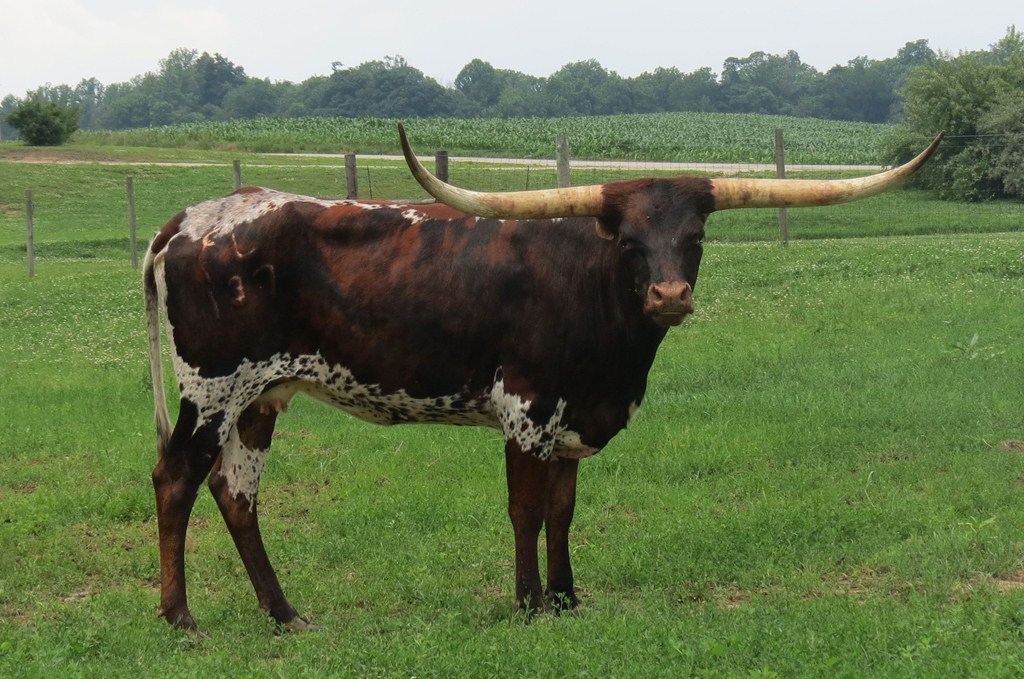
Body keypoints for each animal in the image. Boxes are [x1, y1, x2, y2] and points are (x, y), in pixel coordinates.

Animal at [144, 124, 942, 631]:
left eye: (695, 235)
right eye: (629, 240)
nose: (669, 295)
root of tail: (194, 217)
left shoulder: (573, 418)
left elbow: (562, 510)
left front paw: (566, 597)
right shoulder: (526, 406)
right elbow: (525, 510)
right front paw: (528, 603)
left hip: (259, 398)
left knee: (236, 494)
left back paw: (285, 614)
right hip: (210, 389)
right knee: (176, 479)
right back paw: (181, 617)